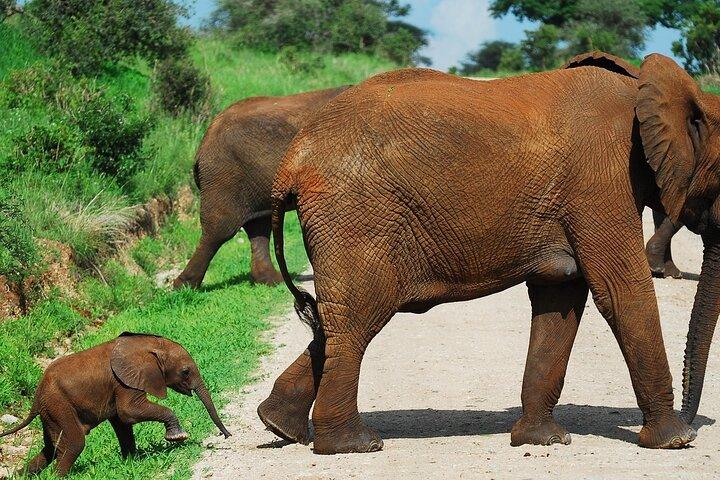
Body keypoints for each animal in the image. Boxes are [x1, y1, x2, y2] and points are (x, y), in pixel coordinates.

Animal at [0, 332, 230, 477]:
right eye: (185, 372)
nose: (227, 436)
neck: (148, 345)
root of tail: (37, 393)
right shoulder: (124, 380)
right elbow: (129, 412)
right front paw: (177, 437)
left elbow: (122, 422)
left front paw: (131, 462)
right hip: (58, 404)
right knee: (74, 443)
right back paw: (57, 476)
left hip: (51, 410)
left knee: (50, 449)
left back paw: (18, 476)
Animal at [173, 85, 350, 289]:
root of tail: (204, 142)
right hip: (225, 176)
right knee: (220, 230)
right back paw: (184, 286)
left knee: (258, 227)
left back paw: (273, 280)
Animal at [257, 52, 720, 455]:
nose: (695, 421)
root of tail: (293, 158)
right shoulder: (602, 178)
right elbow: (622, 290)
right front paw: (675, 441)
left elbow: (560, 296)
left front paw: (542, 441)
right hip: (358, 214)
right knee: (359, 316)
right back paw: (354, 445)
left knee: (337, 320)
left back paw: (278, 424)